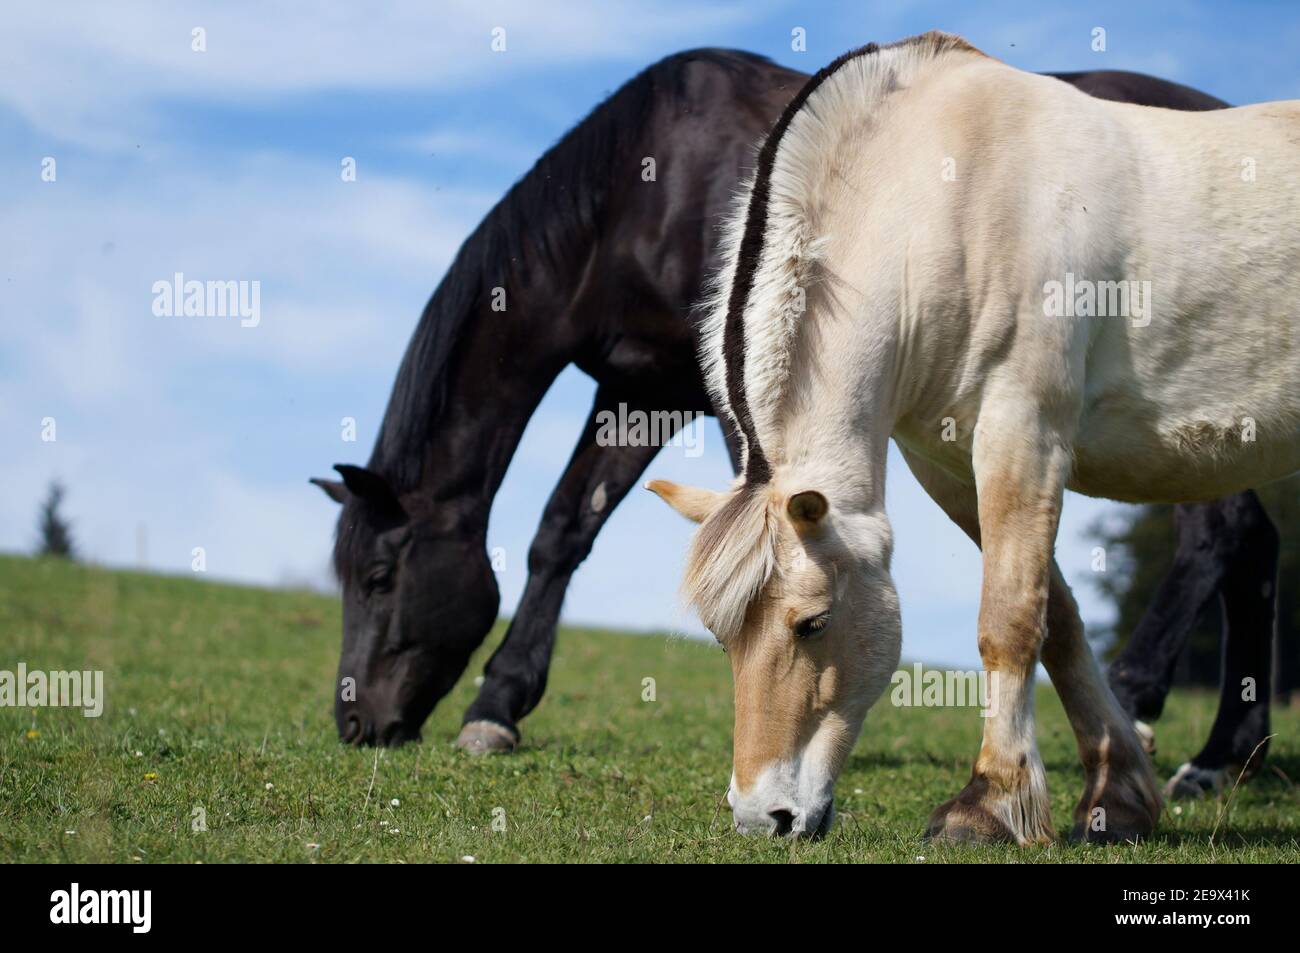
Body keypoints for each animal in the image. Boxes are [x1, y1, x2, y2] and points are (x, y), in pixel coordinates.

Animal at [312, 46, 1279, 790]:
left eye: (379, 577)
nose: (354, 724)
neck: (642, 190)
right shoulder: (640, 391)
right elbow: (562, 532)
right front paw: (497, 705)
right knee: (1254, 545)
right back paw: (1221, 757)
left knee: (1221, 534)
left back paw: (1141, 702)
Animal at [650, 33, 1300, 842]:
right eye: (723, 635)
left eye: (813, 623)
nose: (760, 816)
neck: (950, 199)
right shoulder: (952, 469)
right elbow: (1059, 621)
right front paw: (1115, 793)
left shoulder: (1024, 436)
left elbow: (1010, 619)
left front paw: (989, 801)